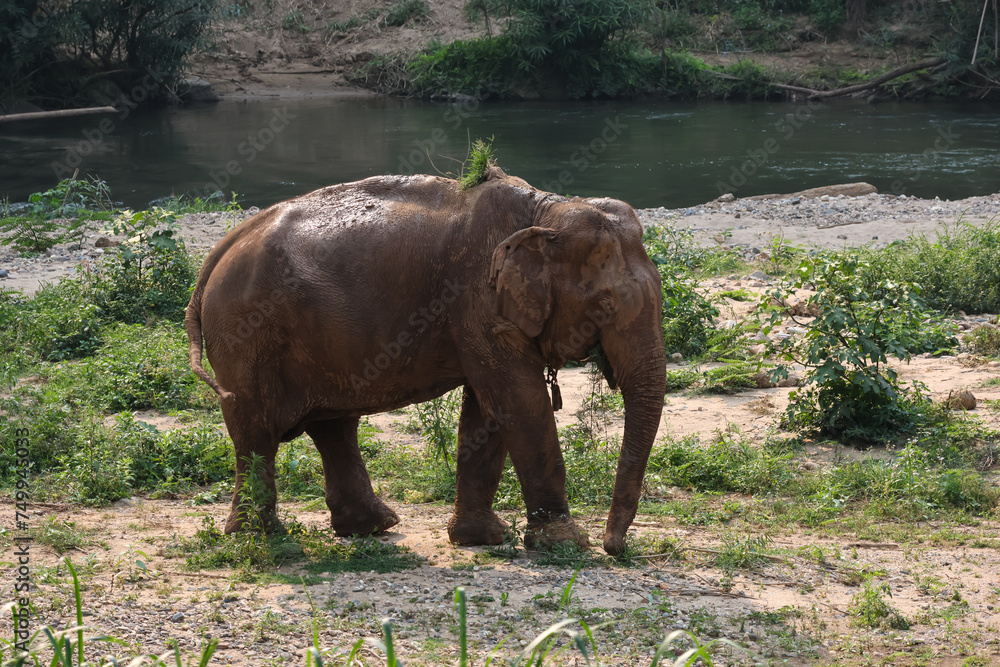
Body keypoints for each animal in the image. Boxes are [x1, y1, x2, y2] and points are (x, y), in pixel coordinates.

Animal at [184, 166, 666, 555]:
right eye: (604, 306)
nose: (616, 548)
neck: (545, 209)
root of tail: (218, 252)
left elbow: (488, 411)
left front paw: (483, 538)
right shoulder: (478, 297)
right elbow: (519, 401)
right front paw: (565, 544)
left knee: (332, 426)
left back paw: (371, 527)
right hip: (245, 334)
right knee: (257, 432)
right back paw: (261, 537)